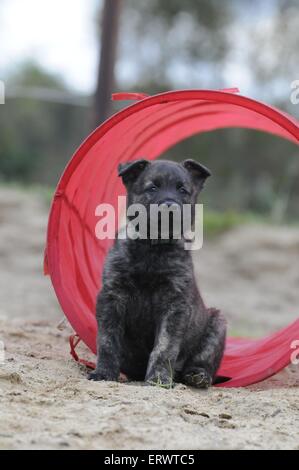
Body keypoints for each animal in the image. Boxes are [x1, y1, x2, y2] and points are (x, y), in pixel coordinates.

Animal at [89, 160, 227, 388]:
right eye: (152, 188)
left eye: (182, 190)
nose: (170, 207)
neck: (152, 250)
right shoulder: (112, 297)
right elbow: (107, 341)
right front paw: (104, 372)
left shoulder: (174, 305)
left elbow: (165, 346)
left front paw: (159, 379)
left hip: (218, 323)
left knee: (204, 361)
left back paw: (197, 376)